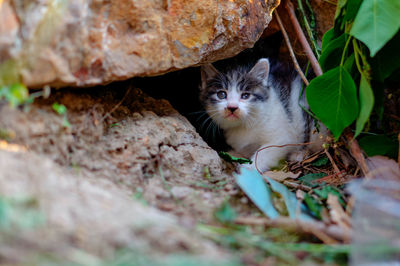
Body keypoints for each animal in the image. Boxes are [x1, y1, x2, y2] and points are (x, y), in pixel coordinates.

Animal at [198, 57, 326, 172]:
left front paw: (249, 168)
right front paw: (233, 154)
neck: (245, 125)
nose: (232, 107)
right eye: (221, 94)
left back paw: (299, 154)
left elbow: (265, 152)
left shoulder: (282, 136)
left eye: (245, 95)